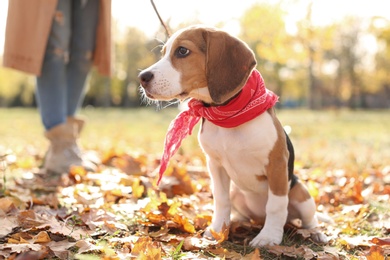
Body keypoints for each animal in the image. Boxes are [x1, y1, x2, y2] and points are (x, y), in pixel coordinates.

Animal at [137, 25, 326, 247]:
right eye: (164, 52)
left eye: (182, 51)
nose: (142, 77)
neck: (227, 113)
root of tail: (258, 218)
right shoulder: (215, 165)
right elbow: (221, 200)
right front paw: (218, 230)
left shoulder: (278, 164)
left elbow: (276, 205)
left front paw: (269, 237)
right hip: (237, 192)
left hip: (301, 193)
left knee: (309, 219)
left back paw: (316, 233)